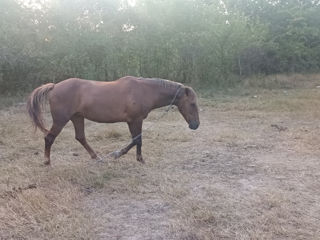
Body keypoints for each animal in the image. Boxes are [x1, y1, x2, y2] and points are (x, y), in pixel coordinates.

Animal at [26, 76, 199, 165]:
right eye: (192, 103)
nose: (195, 125)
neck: (144, 90)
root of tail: (54, 87)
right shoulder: (134, 120)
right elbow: (137, 140)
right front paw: (127, 156)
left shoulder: (135, 121)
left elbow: (137, 140)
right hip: (61, 120)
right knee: (49, 138)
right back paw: (47, 161)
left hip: (77, 117)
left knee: (80, 137)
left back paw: (96, 157)